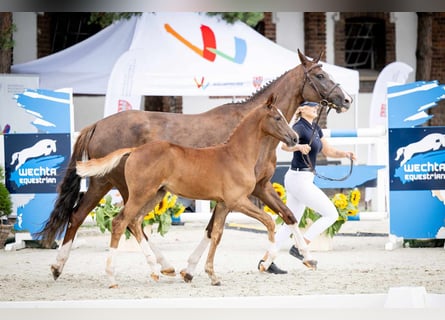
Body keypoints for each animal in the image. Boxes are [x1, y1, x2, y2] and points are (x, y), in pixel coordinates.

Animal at [76, 95, 298, 288]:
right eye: (278, 118)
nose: (294, 138)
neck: (235, 154)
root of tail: (134, 150)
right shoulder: (238, 201)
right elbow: (269, 222)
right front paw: (266, 262)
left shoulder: (223, 204)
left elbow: (216, 234)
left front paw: (212, 276)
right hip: (140, 194)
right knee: (119, 222)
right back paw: (113, 277)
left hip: (155, 194)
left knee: (135, 221)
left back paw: (155, 271)